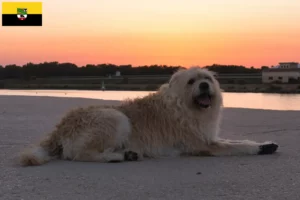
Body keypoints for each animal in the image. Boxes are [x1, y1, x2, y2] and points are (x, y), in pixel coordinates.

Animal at [19, 67, 278, 166]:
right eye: (192, 81)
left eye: (207, 78)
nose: (205, 86)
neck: (185, 105)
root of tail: (59, 128)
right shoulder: (204, 145)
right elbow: (238, 146)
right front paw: (259, 148)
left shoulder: (208, 137)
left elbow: (237, 140)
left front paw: (265, 143)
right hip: (115, 118)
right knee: (78, 154)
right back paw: (117, 157)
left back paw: (126, 153)